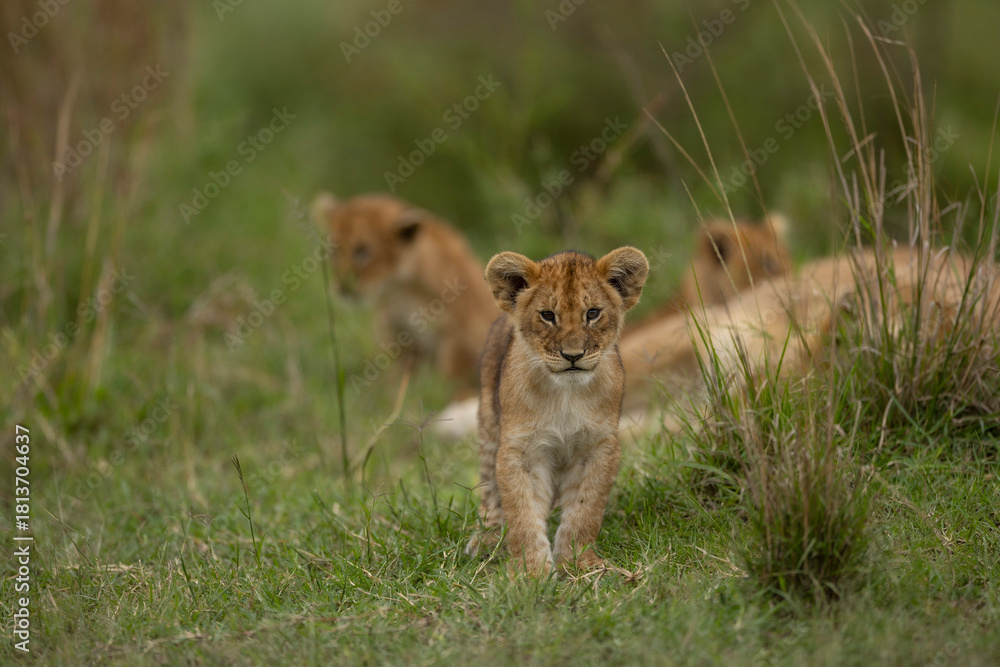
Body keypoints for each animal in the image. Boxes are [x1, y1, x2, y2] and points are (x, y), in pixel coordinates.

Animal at [311, 193, 498, 391]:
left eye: (363, 251)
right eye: (334, 251)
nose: (343, 287)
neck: (402, 289)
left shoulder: (457, 334)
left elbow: (452, 378)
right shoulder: (396, 332)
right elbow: (400, 375)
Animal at [466, 247, 649, 576]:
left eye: (593, 313)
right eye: (548, 315)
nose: (572, 355)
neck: (566, 394)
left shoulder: (598, 448)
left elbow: (584, 511)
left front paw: (580, 564)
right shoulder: (521, 450)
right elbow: (522, 514)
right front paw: (531, 573)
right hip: (488, 428)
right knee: (490, 493)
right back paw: (486, 538)